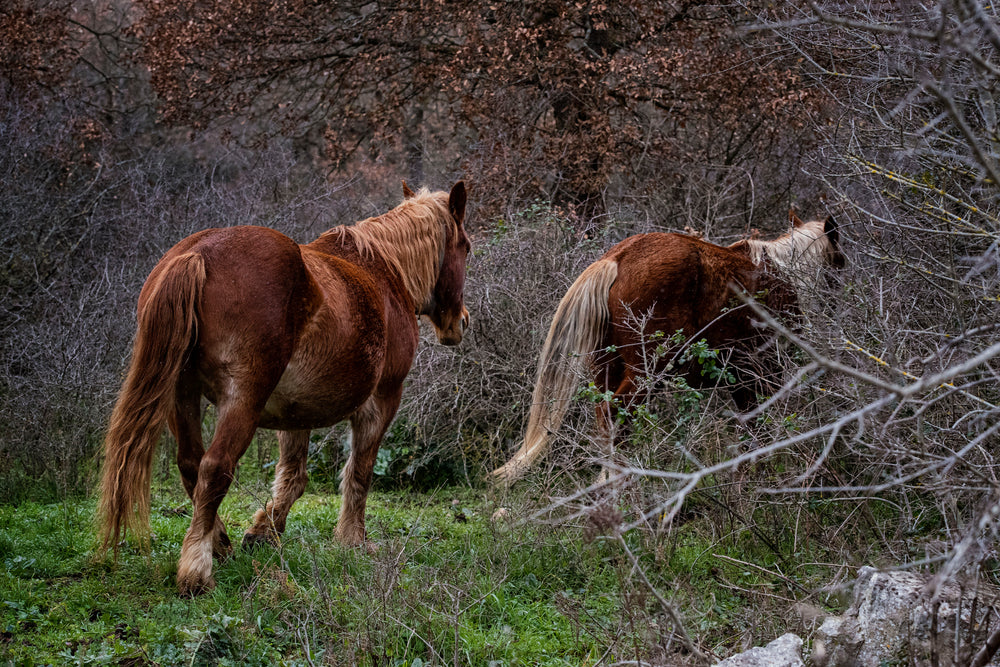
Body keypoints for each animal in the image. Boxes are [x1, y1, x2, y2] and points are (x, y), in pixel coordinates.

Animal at [99, 180, 470, 592]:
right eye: (466, 247)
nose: (461, 323)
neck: (384, 272)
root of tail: (199, 253)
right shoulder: (383, 400)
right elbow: (359, 472)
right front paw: (352, 541)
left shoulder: (295, 414)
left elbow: (293, 477)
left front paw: (263, 533)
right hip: (241, 400)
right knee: (215, 467)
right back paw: (197, 570)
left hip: (182, 396)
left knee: (191, 464)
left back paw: (220, 544)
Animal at [492, 214, 844, 486]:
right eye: (839, 263)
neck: (783, 274)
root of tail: (617, 258)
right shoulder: (766, 371)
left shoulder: (740, 376)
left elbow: (751, 425)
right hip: (648, 369)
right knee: (616, 413)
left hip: (606, 368)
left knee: (604, 417)